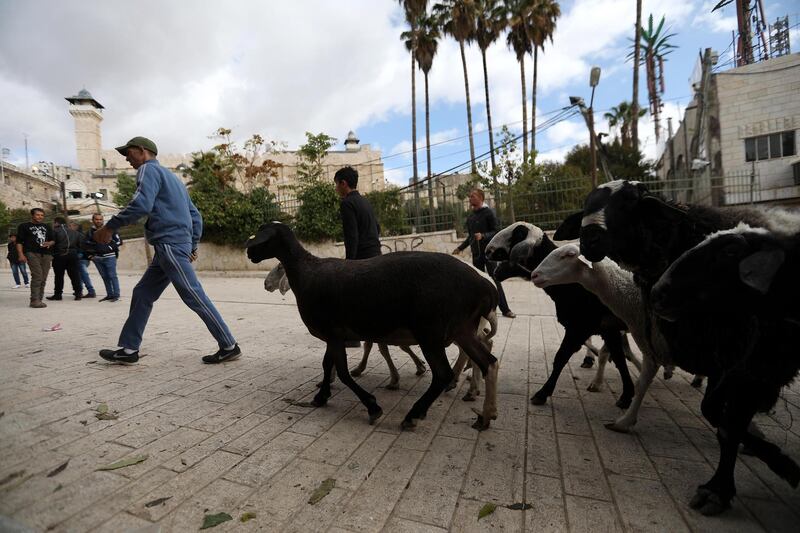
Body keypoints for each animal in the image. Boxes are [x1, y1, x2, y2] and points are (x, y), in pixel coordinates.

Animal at [482, 220, 636, 408]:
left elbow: (561, 358)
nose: (487, 251)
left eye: (517, 234)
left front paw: (542, 394)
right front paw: (627, 395)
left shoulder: (580, 326)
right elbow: (619, 358)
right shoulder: (607, 327)